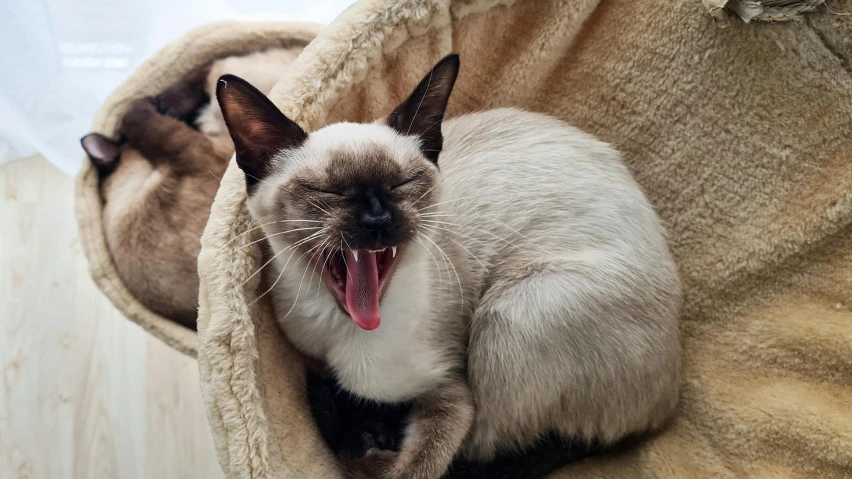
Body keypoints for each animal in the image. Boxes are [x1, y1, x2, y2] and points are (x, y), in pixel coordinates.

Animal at [216, 53, 684, 479]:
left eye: (401, 184)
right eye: (327, 192)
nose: (377, 220)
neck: (334, 330)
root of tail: (667, 406)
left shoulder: (449, 392)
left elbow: (416, 468)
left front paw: (369, 433)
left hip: (513, 312)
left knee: (491, 449)